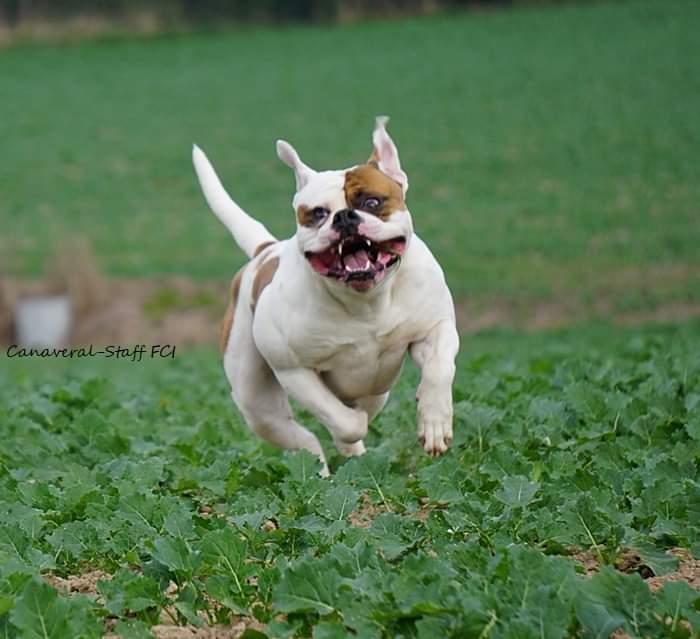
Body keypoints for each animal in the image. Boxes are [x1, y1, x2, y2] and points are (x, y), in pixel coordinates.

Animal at [191, 116, 460, 476]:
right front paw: (353, 429)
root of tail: (265, 250)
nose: (344, 217)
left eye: (372, 202)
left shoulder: (435, 329)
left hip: (377, 390)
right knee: (304, 437)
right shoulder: (295, 370)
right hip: (258, 404)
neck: (366, 301)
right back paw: (317, 471)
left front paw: (434, 423)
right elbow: (346, 422)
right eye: (318, 213)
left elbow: (439, 370)